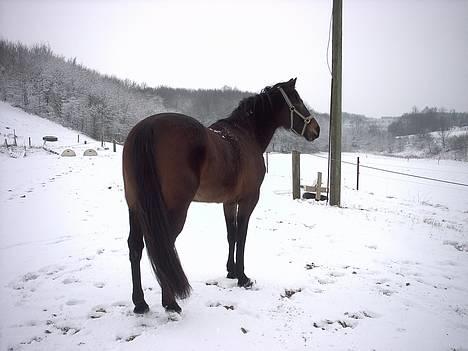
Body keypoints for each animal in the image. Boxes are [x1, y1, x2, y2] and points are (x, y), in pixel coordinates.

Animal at [122, 78, 322, 314]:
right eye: (297, 100)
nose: (316, 129)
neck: (246, 135)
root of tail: (147, 127)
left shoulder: (228, 202)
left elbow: (231, 235)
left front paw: (231, 271)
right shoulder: (248, 200)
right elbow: (242, 236)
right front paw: (243, 277)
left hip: (135, 206)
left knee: (136, 247)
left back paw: (140, 303)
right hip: (174, 209)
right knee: (164, 248)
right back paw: (170, 303)